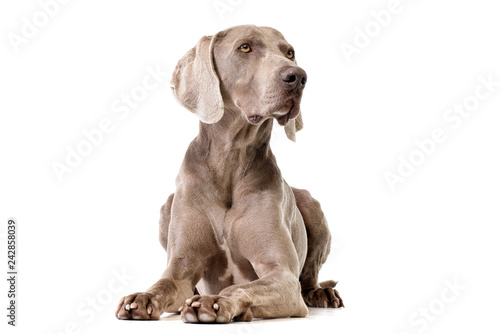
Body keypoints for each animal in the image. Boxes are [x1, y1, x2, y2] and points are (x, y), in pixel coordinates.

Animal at [116, 24, 344, 324]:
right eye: (245, 47)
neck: (231, 161)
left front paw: (215, 301)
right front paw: (142, 297)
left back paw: (321, 293)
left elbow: (242, 286)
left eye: (289, 52)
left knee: (308, 279)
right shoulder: (181, 268)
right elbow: (164, 283)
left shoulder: (281, 274)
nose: (298, 77)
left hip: (310, 204)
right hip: (168, 204)